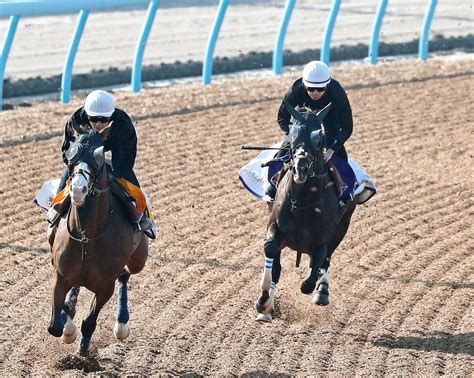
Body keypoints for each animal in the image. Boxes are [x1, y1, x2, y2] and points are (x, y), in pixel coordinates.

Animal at [47, 131, 148, 354]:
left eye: (99, 156)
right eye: (72, 154)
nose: (78, 189)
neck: (87, 237)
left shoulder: (105, 286)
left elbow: (89, 322)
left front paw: (82, 350)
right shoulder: (60, 274)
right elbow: (55, 326)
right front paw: (67, 326)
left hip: (139, 259)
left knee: (125, 275)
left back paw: (121, 324)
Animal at [256, 101, 356, 322]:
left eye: (319, 137)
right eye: (292, 134)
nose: (300, 168)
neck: (302, 202)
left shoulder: (322, 240)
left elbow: (312, 274)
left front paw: (316, 288)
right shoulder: (275, 227)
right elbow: (271, 251)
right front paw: (264, 302)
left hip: (343, 227)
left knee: (325, 261)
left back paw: (322, 291)